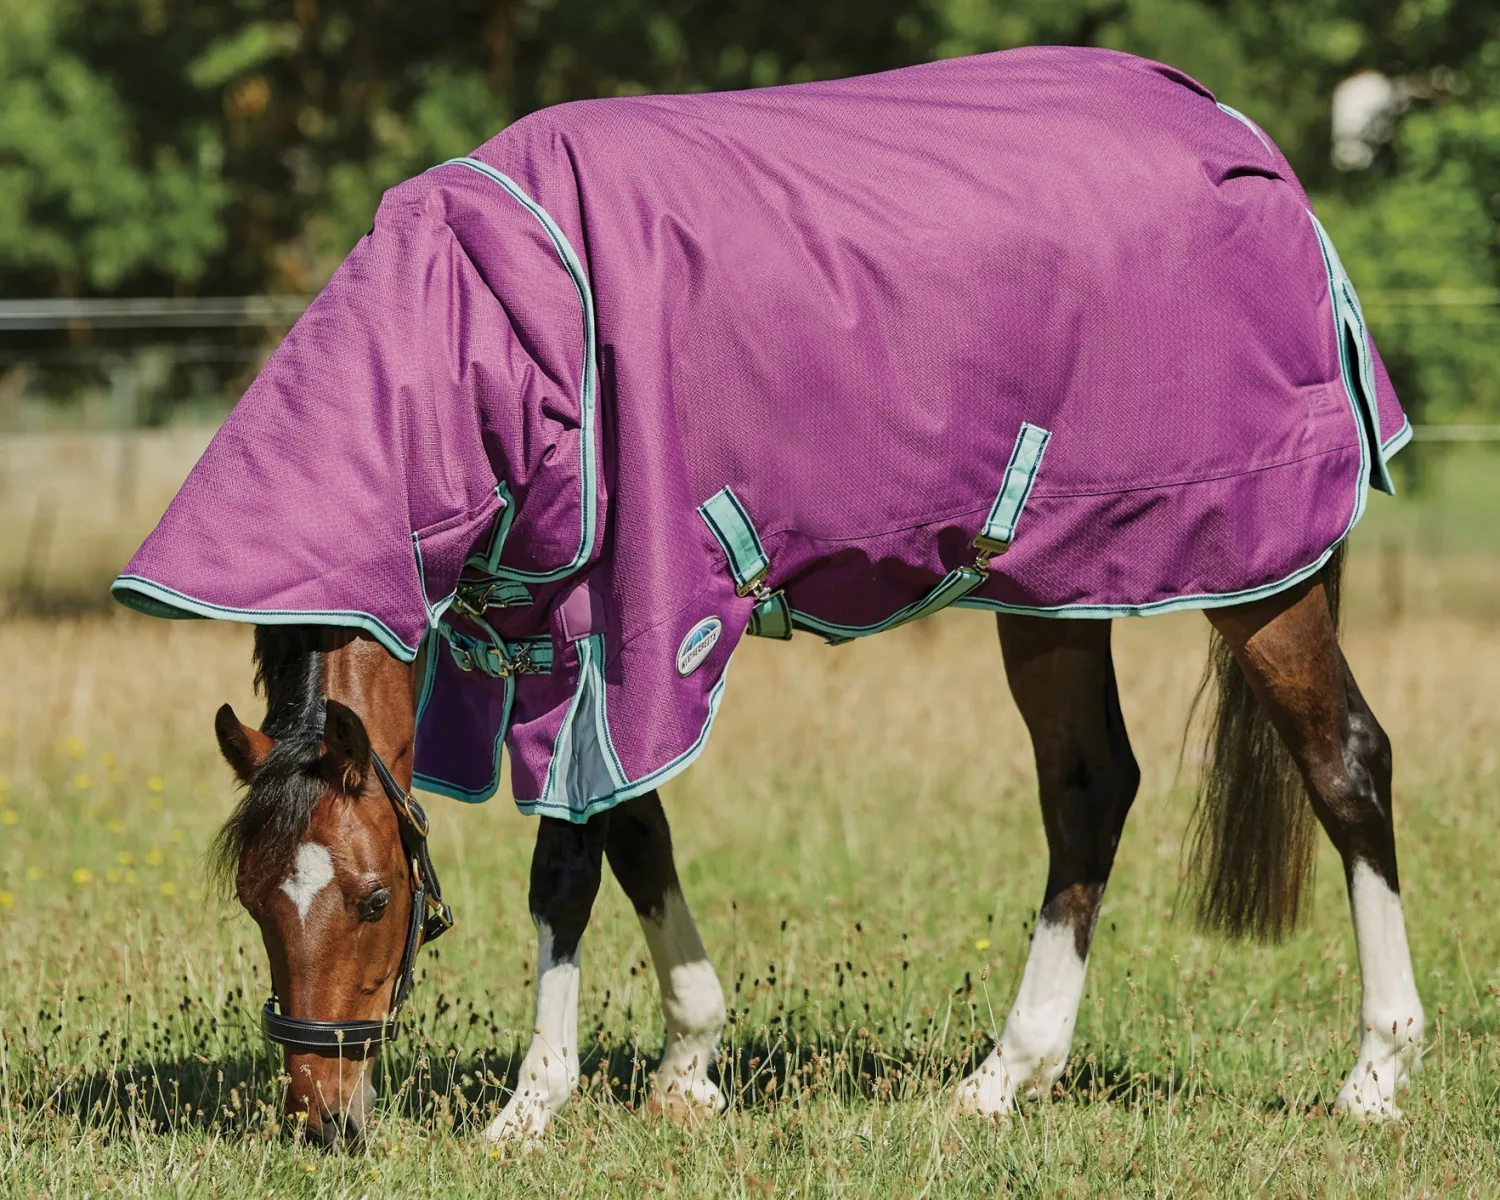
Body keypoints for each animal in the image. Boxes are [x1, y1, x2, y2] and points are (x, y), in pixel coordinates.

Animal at [117, 47, 1423, 1143]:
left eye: (377, 898)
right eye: (255, 902)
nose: (322, 1118)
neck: (493, 334)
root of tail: (1249, 149)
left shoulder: (617, 630)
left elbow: (568, 866)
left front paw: (531, 1107)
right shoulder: (572, 647)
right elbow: (636, 832)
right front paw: (688, 1064)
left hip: (1256, 571)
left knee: (1345, 761)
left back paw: (1375, 1071)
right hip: (1056, 587)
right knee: (1091, 788)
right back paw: (1005, 1076)